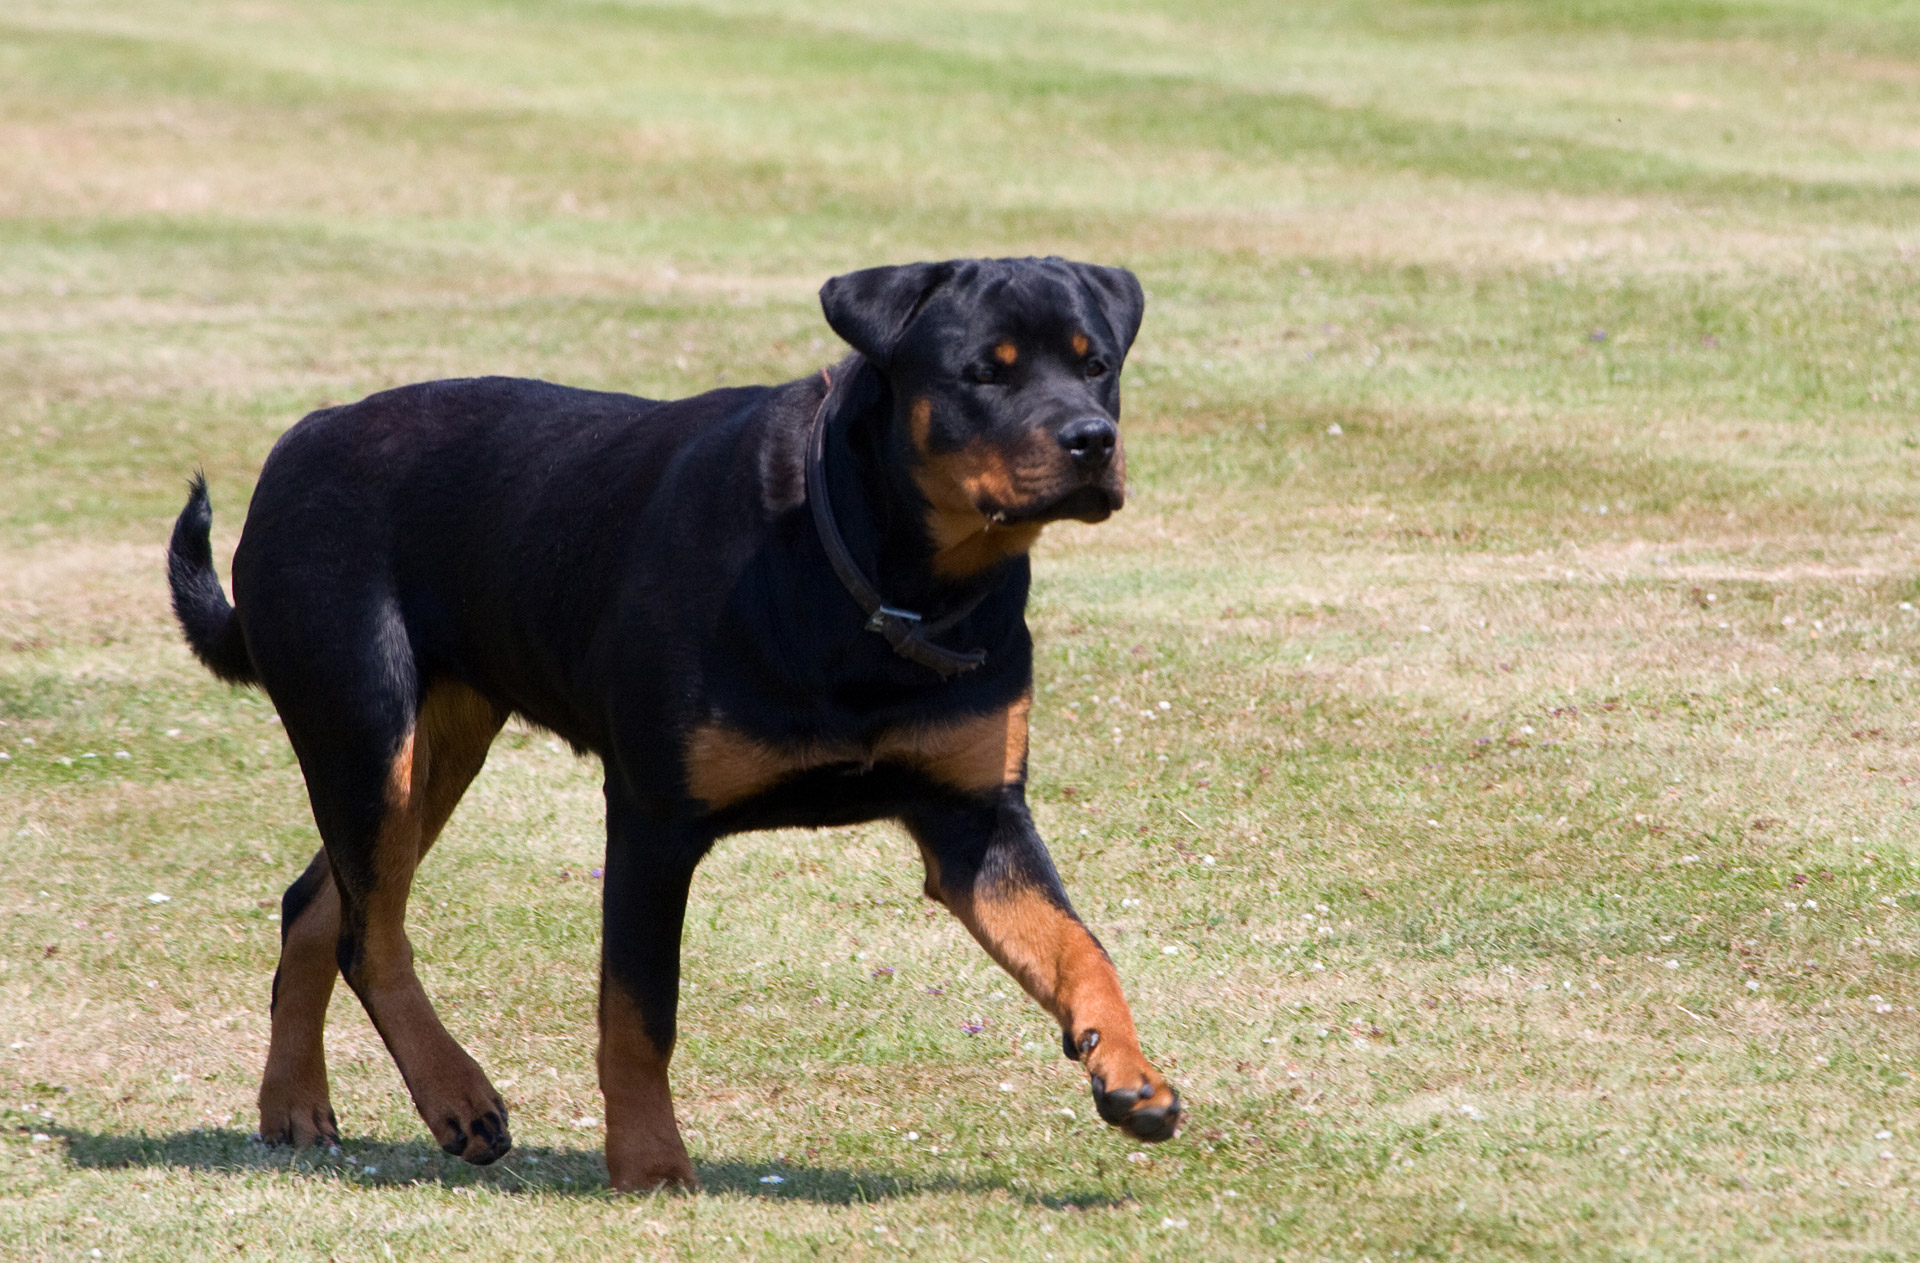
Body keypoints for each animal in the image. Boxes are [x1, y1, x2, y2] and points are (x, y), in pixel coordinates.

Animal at [168, 253, 1182, 1182]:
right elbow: (638, 1013)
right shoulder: (654, 822)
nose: (1093, 439)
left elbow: (1081, 948)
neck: (889, 579)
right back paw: (458, 1096)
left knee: (317, 904)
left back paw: (294, 1105)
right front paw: (652, 1166)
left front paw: (1132, 1074)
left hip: (434, 743)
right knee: (368, 933)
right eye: (984, 371)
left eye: (1097, 364)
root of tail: (301, 437)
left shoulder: (976, 820)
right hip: (366, 724)